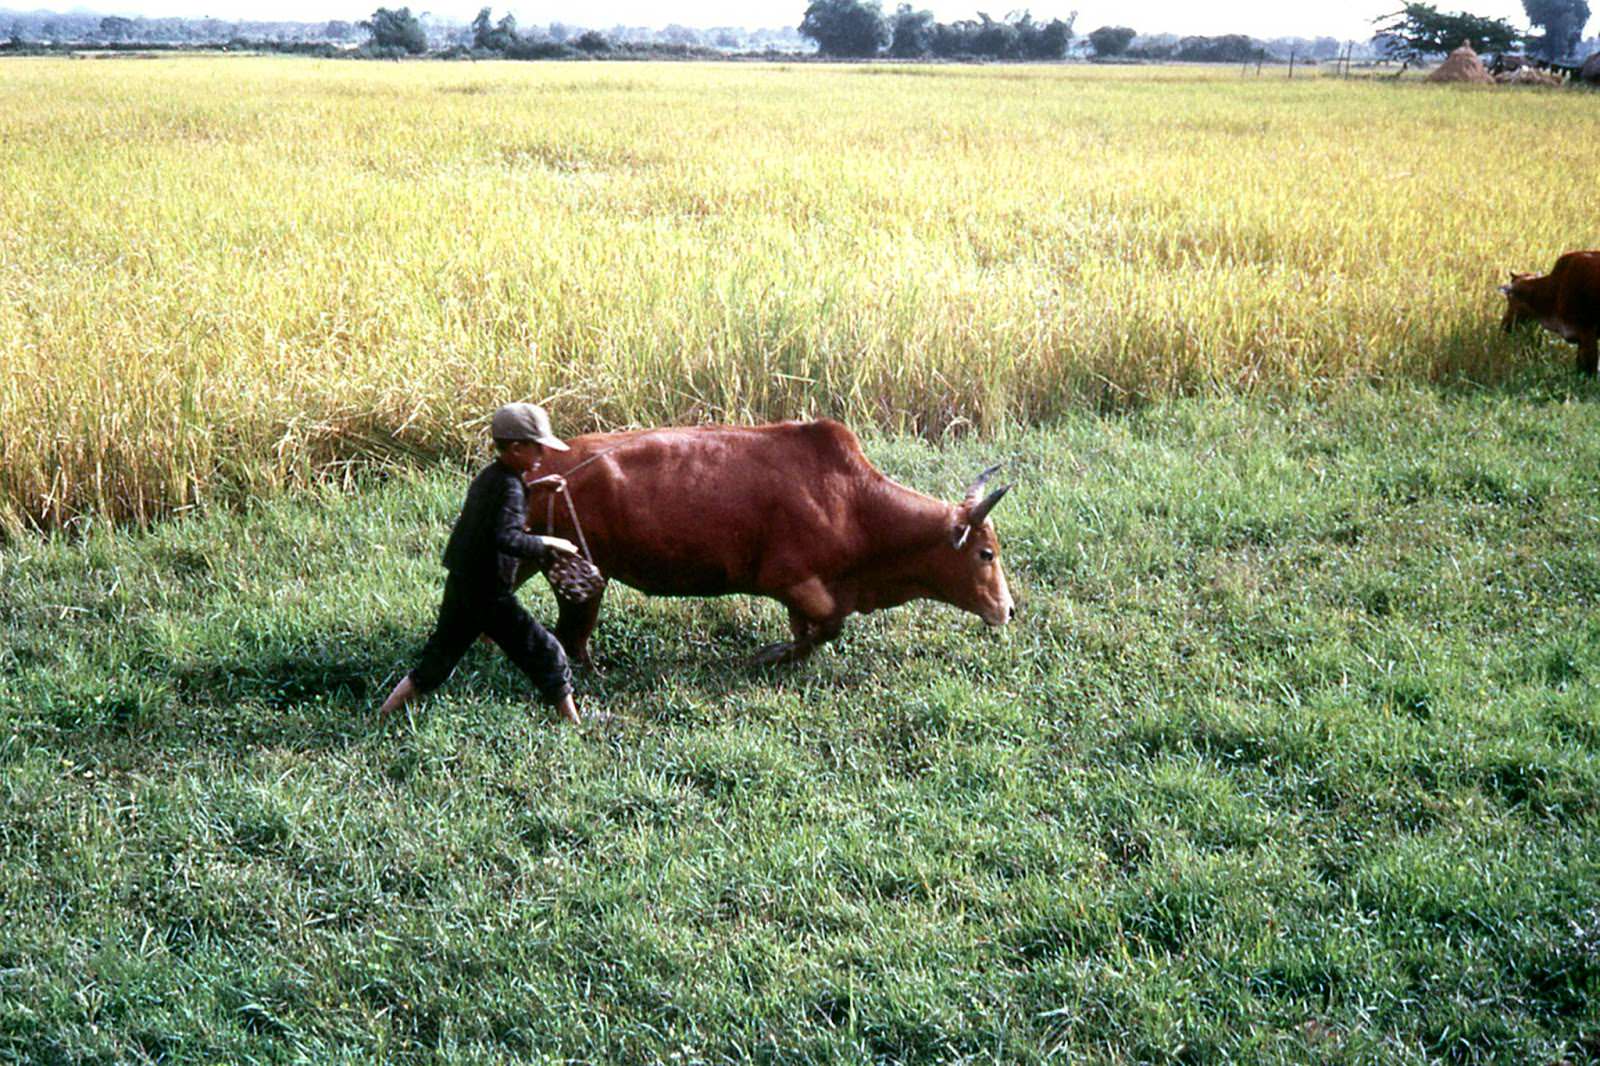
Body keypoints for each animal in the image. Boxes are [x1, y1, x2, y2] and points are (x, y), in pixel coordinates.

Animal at [515, 416, 1011, 659]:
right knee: (571, 636)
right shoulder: (790, 580)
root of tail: (542, 468)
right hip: (577, 575)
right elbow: (829, 626)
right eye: (985, 554)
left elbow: (814, 629)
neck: (853, 501)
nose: (1006, 609)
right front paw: (772, 655)